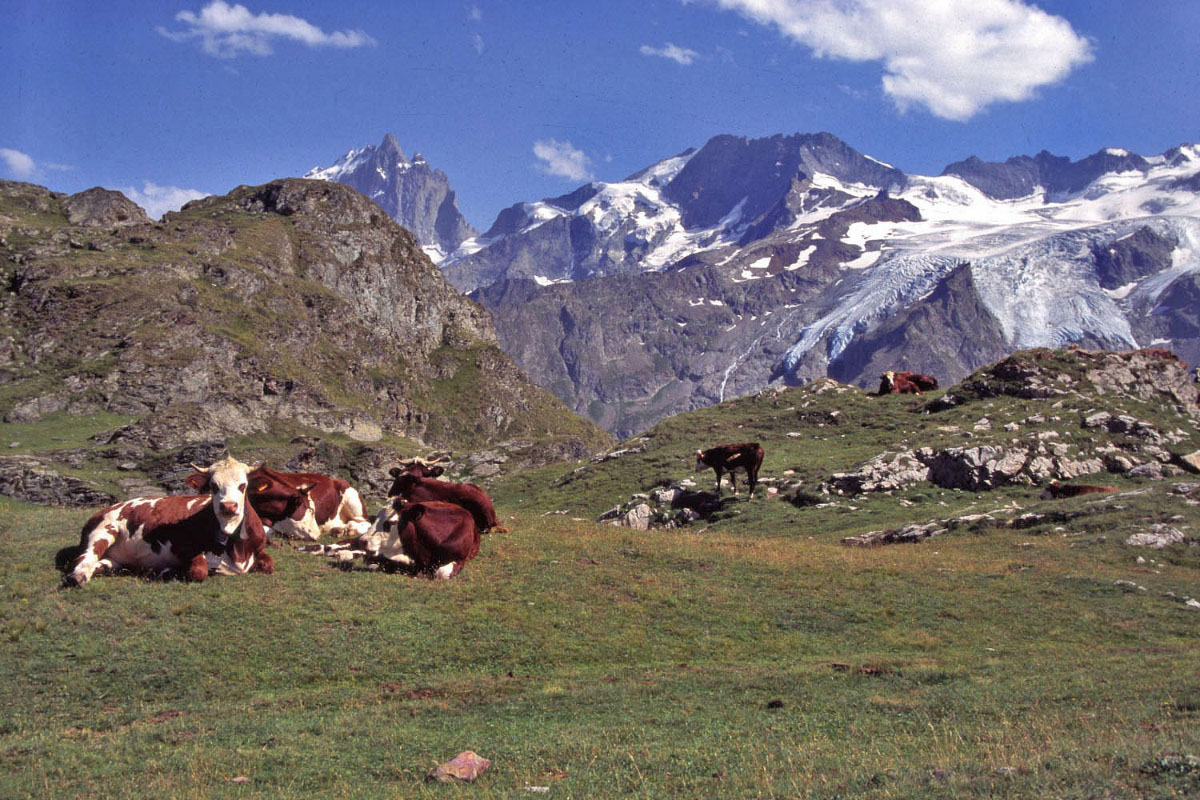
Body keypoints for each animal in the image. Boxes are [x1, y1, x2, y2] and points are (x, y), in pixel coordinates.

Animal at [65, 455, 274, 587]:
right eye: (214, 486)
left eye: (243, 485)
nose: (228, 506)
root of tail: (107, 508)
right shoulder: (181, 545)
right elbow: (199, 571)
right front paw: (168, 571)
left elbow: (269, 564)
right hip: (102, 532)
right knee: (83, 559)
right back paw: (78, 576)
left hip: (114, 559)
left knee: (103, 564)